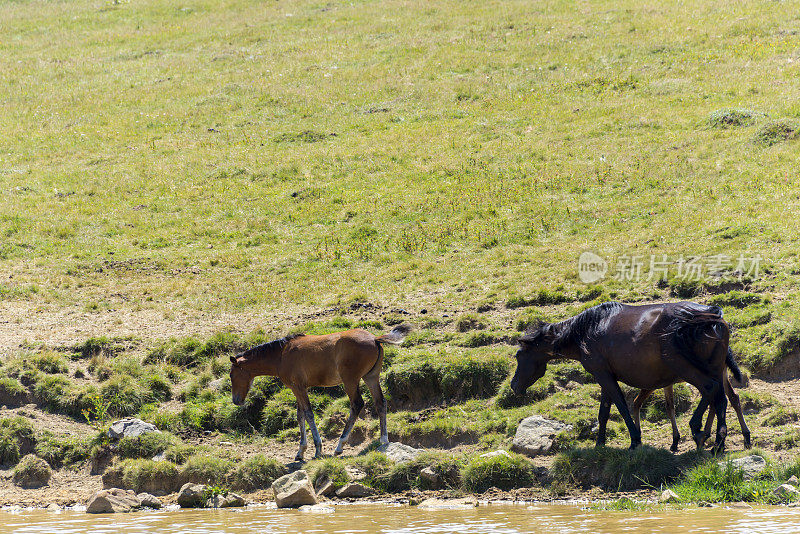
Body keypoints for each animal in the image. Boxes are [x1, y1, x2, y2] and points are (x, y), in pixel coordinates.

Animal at [228, 324, 410, 462]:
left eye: (231, 375)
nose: (236, 401)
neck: (281, 355)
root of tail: (374, 339)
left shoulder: (298, 387)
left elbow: (308, 414)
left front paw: (317, 449)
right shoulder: (299, 388)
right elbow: (300, 415)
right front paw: (301, 451)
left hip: (350, 380)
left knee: (357, 404)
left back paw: (339, 446)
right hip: (371, 377)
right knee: (380, 402)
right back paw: (384, 439)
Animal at [512, 304, 744, 454]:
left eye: (518, 355)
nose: (514, 386)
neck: (585, 331)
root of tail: (713, 317)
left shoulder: (604, 376)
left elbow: (621, 408)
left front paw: (635, 440)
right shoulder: (604, 375)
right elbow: (604, 413)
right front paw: (600, 444)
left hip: (687, 368)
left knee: (711, 390)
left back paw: (699, 430)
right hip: (714, 369)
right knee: (720, 398)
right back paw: (718, 442)